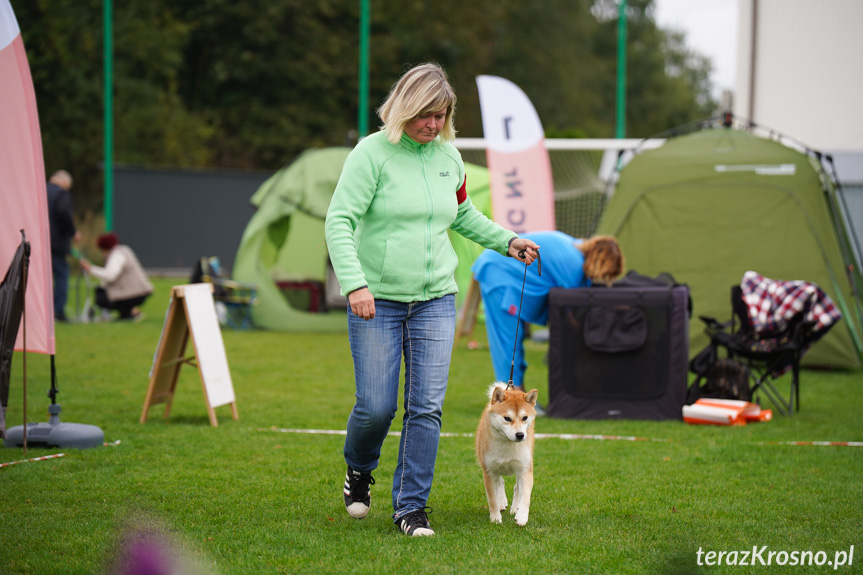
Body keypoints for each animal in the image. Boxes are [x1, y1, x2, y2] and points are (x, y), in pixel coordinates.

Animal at [476, 382, 536, 528]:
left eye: (525, 417)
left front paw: (521, 516)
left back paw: (515, 508)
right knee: (500, 482)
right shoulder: (489, 472)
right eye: (507, 418)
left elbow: (525, 496)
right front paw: (495, 518)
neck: (508, 444)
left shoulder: (525, 469)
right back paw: (502, 503)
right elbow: (492, 499)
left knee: (517, 488)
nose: (520, 435)